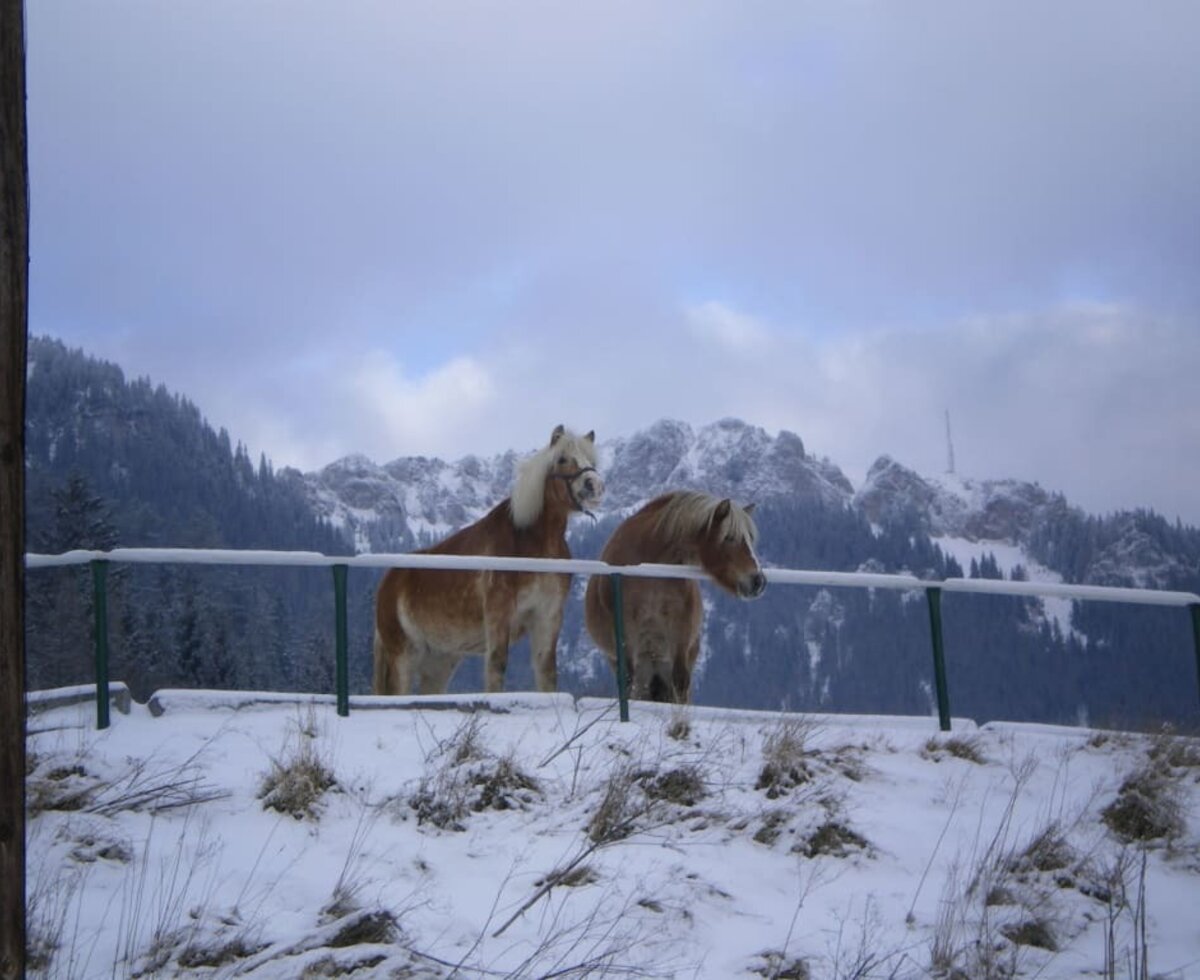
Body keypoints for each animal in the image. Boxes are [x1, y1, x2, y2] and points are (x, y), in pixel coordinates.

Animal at [372, 427, 604, 695]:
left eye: (592, 460)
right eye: (563, 459)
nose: (594, 485)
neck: (532, 543)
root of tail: (388, 582)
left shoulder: (548, 616)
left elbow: (547, 672)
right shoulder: (498, 614)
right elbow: (497, 666)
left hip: (439, 662)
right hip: (403, 657)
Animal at [583, 489, 768, 705]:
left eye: (750, 540)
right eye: (729, 537)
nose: (758, 581)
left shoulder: (681, 629)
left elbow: (680, 681)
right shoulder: (625, 630)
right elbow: (628, 682)